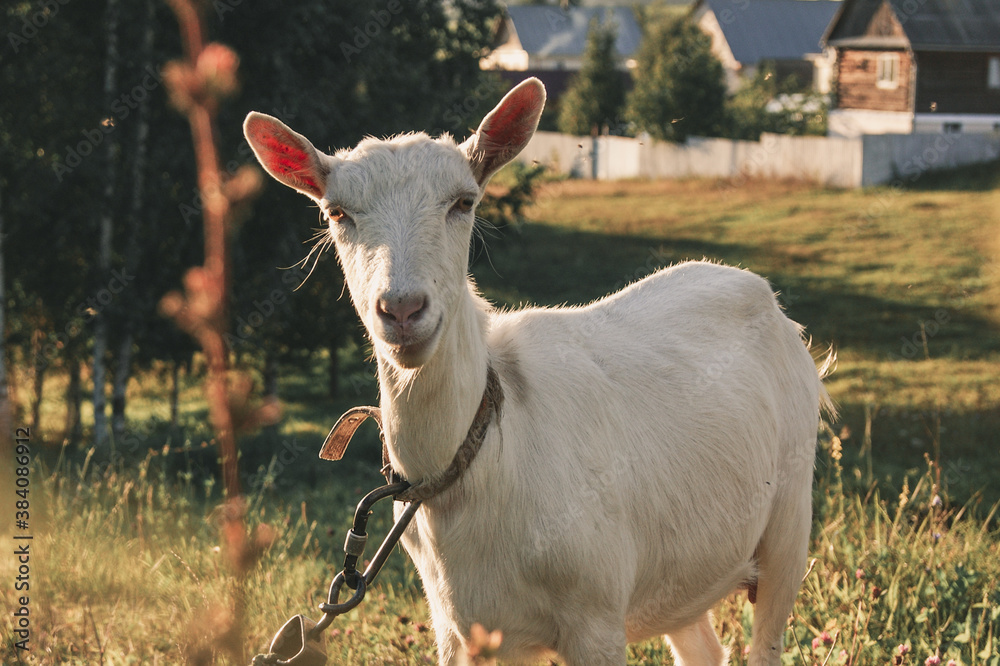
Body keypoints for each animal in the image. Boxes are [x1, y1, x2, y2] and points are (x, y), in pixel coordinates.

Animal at [244, 78, 830, 666]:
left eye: (464, 202)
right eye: (337, 212)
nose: (404, 310)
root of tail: (764, 296)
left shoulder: (596, 612)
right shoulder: (461, 629)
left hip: (789, 516)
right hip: (685, 573)